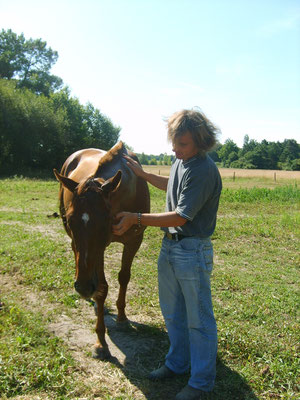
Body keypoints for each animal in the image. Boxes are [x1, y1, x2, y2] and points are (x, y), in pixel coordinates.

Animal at [54, 141, 150, 360]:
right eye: (70, 220)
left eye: (104, 221)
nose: (82, 288)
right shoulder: (98, 249)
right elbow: (102, 288)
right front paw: (101, 343)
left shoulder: (133, 241)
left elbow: (124, 277)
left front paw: (122, 318)